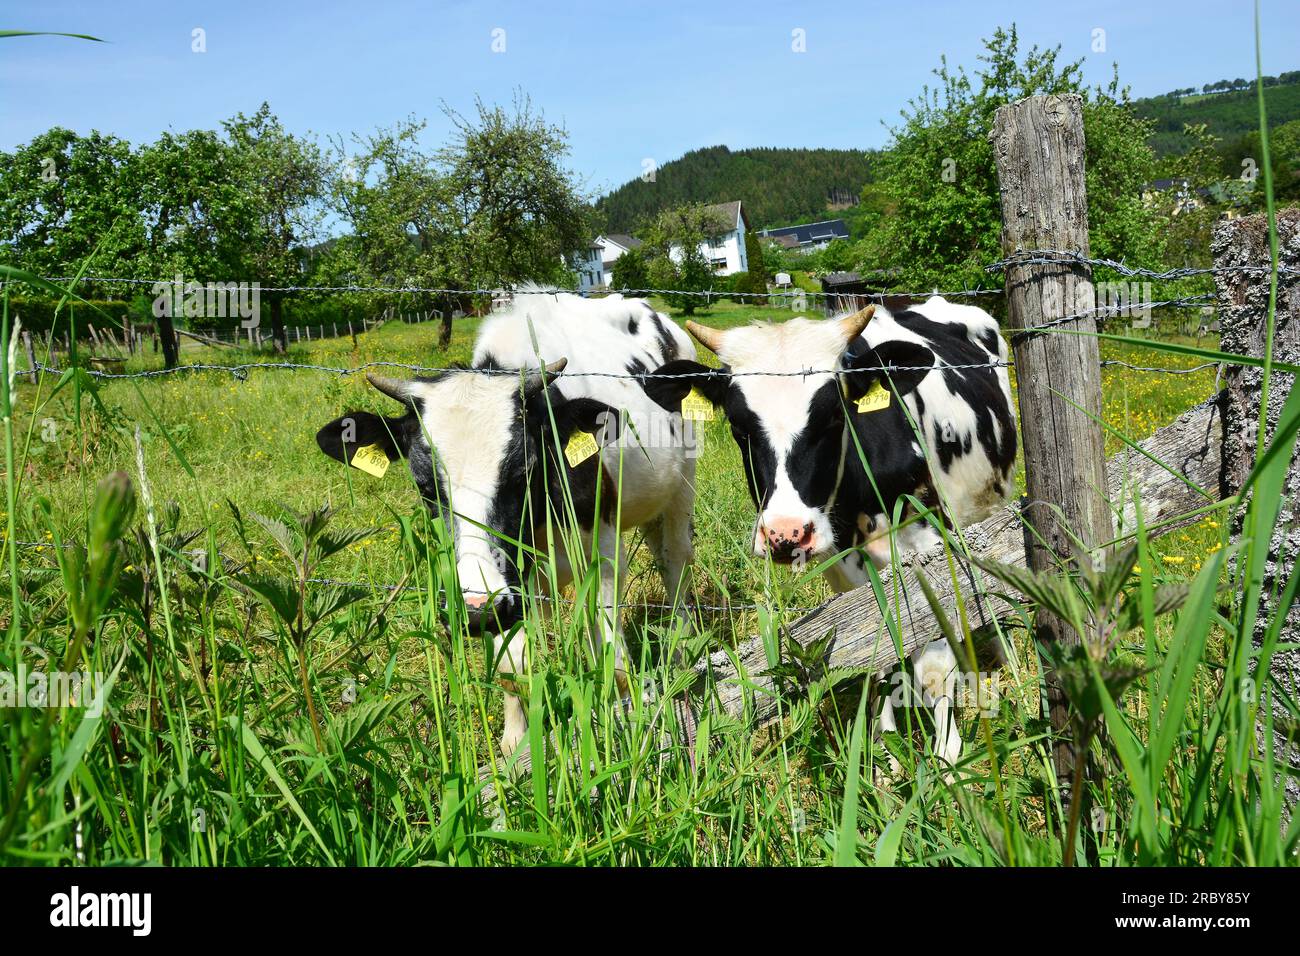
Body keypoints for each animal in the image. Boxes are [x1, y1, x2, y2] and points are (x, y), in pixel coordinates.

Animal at [314, 291, 699, 755]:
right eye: (425, 486)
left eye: (522, 472)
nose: (476, 610)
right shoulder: (510, 583)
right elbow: (514, 664)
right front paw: (517, 743)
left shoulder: (602, 547)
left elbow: (609, 644)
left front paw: (624, 715)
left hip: (683, 482)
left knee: (675, 562)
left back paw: (682, 649)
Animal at [642, 296, 1017, 770]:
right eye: (738, 427)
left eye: (835, 416)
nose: (785, 534)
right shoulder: (841, 566)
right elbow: (874, 649)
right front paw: (885, 755)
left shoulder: (931, 539)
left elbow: (933, 666)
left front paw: (949, 761)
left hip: (994, 498)